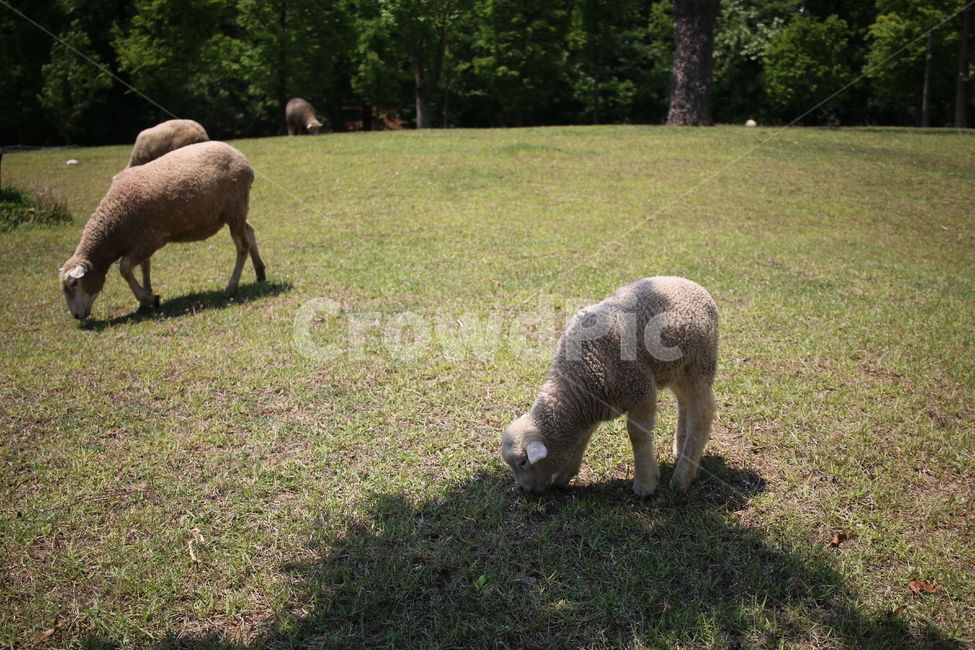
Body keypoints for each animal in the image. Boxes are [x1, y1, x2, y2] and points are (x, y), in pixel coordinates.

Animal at [59, 141, 265, 320]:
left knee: (242, 246)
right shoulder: (140, 241)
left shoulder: (150, 240)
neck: (114, 226)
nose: (76, 316)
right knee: (249, 232)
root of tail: (239, 156)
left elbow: (125, 268)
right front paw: (144, 301)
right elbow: (144, 267)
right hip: (233, 212)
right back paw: (260, 272)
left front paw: (150, 299)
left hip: (235, 208)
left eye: (74, 283)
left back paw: (231, 288)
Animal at [501, 276, 718, 497]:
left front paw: (645, 483)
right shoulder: (594, 402)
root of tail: (688, 282)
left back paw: (683, 476)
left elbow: (637, 435)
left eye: (522, 462)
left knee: (702, 412)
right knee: (684, 402)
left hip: (700, 362)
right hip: (675, 369)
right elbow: (583, 437)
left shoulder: (641, 389)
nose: (522, 489)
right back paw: (680, 450)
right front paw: (563, 477)